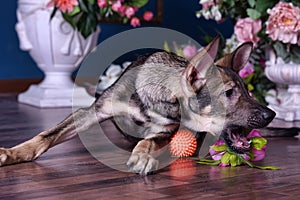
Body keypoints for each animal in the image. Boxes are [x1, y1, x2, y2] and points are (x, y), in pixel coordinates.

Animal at [0, 36, 276, 174]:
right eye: (229, 92)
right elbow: (46, 136)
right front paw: (13, 153)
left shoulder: (166, 130)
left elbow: (148, 140)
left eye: (248, 92)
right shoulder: (91, 112)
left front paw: (142, 157)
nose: (271, 114)